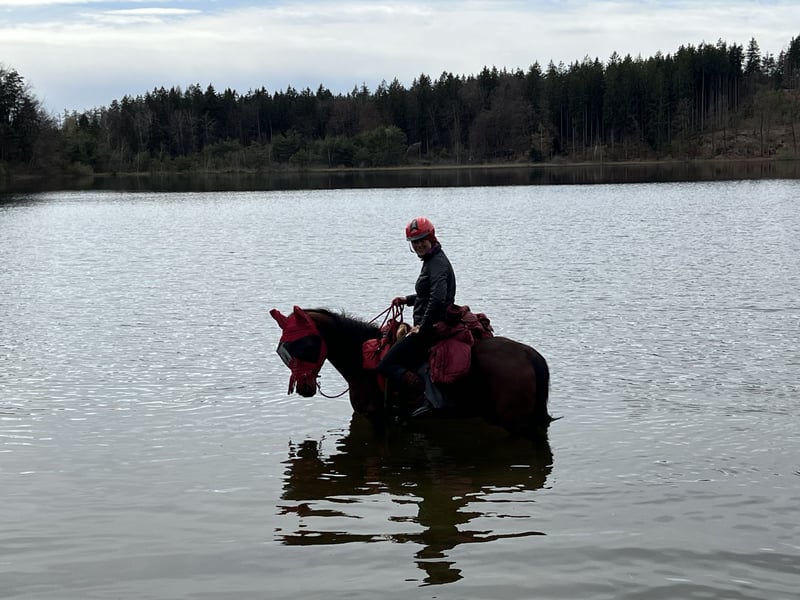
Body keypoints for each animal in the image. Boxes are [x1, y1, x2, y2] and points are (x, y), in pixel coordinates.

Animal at [270, 305, 555, 439]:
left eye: (304, 345)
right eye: (282, 351)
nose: (304, 388)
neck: (363, 359)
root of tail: (530, 356)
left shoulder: (377, 417)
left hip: (516, 422)